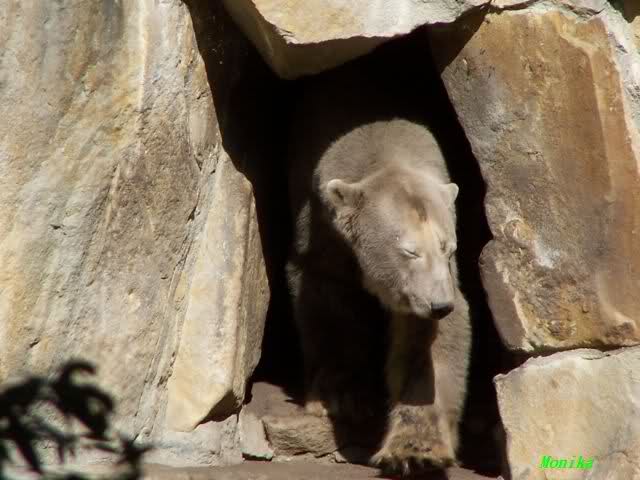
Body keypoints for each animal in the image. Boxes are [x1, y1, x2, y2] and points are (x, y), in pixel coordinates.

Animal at [286, 66, 471, 475]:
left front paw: (414, 453)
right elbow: (327, 298)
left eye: (448, 246)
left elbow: (423, 342)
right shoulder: (321, 228)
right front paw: (340, 396)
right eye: (409, 251)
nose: (439, 304)